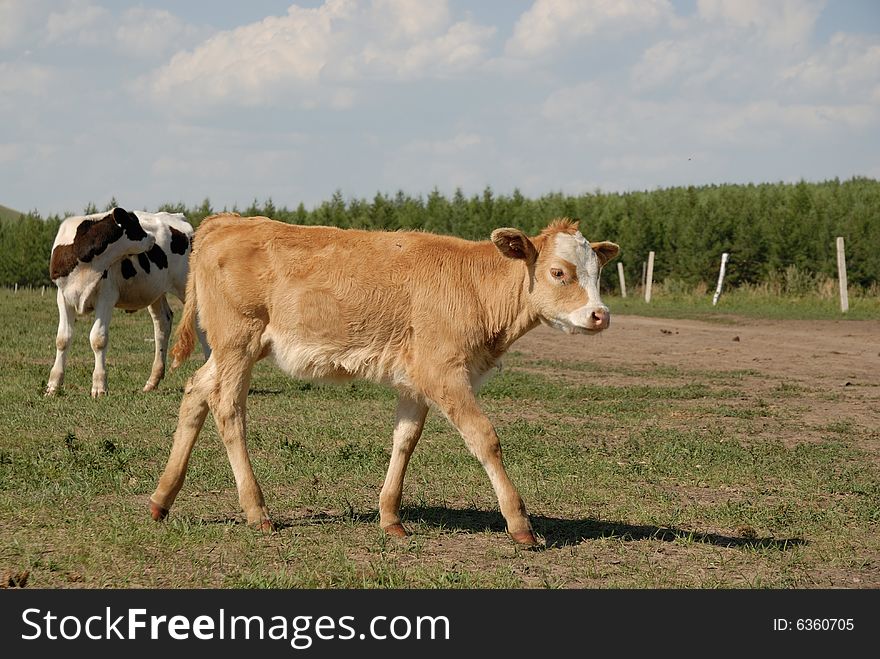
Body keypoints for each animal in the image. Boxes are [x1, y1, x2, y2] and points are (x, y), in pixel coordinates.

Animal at [48, 206, 211, 398]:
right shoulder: (63, 296)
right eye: (135, 225)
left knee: (200, 324)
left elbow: (98, 339)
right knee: (162, 323)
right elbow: (62, 339)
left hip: (186, 286)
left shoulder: (106, 296)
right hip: (155, 291)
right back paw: (152, 381)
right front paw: (53, 385)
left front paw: (99, 386)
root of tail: (178, 217)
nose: (152, 239)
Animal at [150, 214, 620, 544]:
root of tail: (227, 221)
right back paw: (256, 510)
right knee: (228, 408)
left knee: (196, 390)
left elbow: (405, 441)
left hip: (235, 347)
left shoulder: (415, 379)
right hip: (237, 340)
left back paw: (161, 499)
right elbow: (484, 438)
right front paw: (520, 523)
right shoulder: (443, 371)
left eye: (598, 273)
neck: (475, 286)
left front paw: (391, 517)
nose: (601, 314)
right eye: (559, 272)